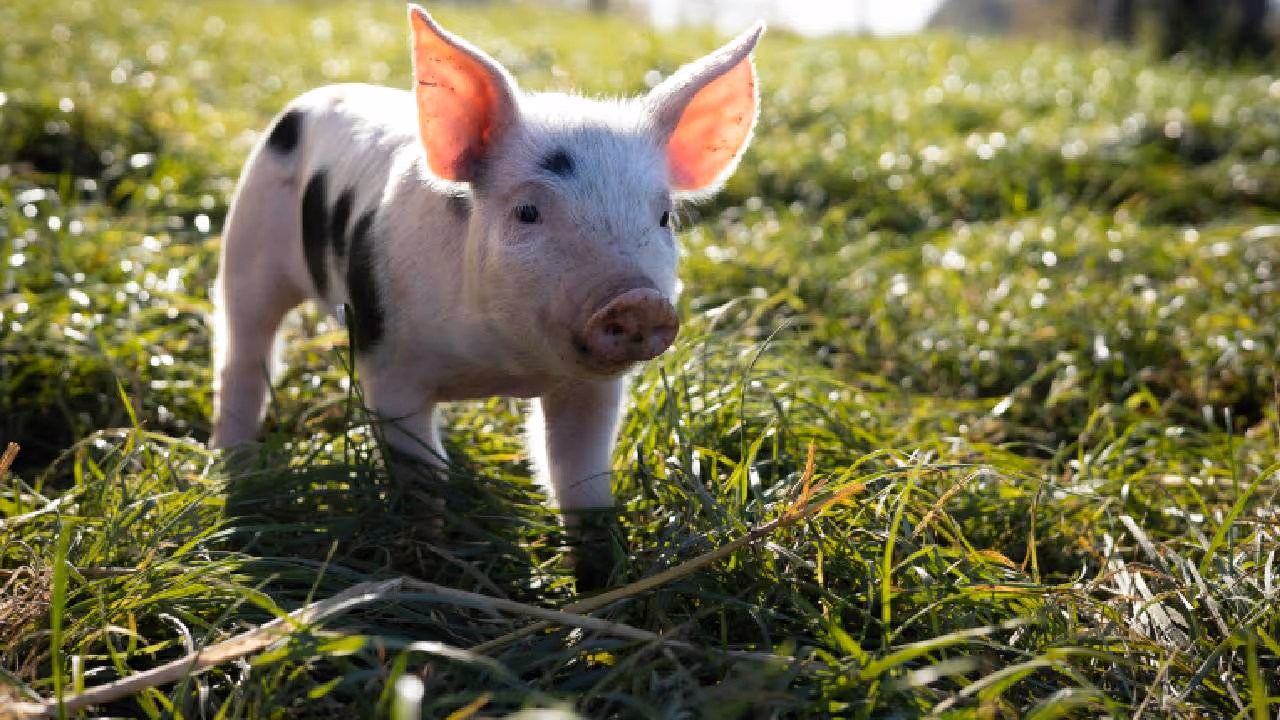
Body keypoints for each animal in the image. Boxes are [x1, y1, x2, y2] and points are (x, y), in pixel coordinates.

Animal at [209, 4, 763, 580]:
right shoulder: (387, 360)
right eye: (528, 211)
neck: (501, 366)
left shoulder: (591, 389)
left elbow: (581, 482)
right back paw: (232, 470)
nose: (637, 301)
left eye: (663, 217)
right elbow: (422, 475)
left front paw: (599, 578)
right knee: (242, 353)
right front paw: (428, 562)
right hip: (246, 240)